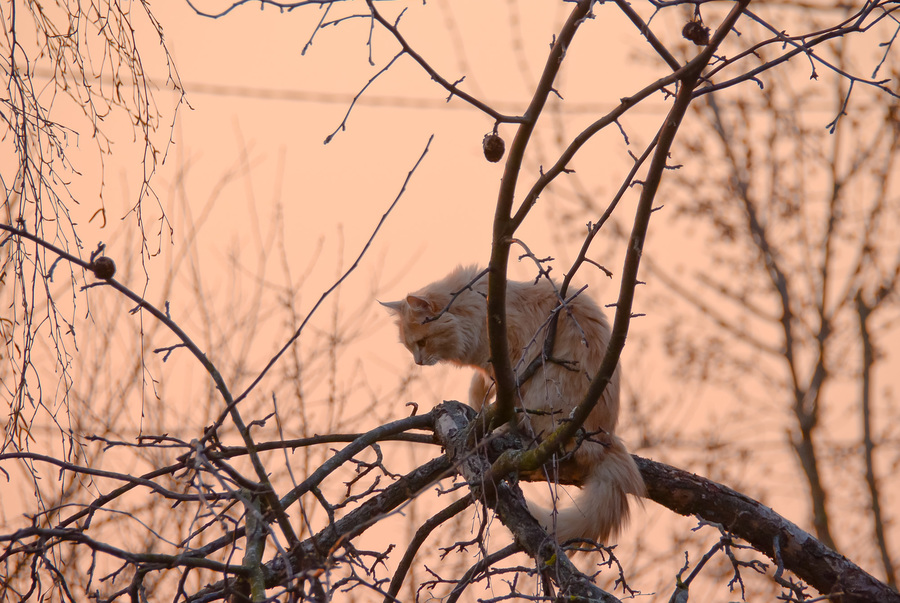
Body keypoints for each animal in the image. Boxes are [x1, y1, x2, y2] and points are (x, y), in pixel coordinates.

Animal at [382, 264, 648, 548]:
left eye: (422, 342)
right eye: (410, 347)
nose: (418, 362)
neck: (477, 311)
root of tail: (606, 439)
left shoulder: (510, 360)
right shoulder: (488, 372)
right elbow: (478, 388)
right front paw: (476, 405)